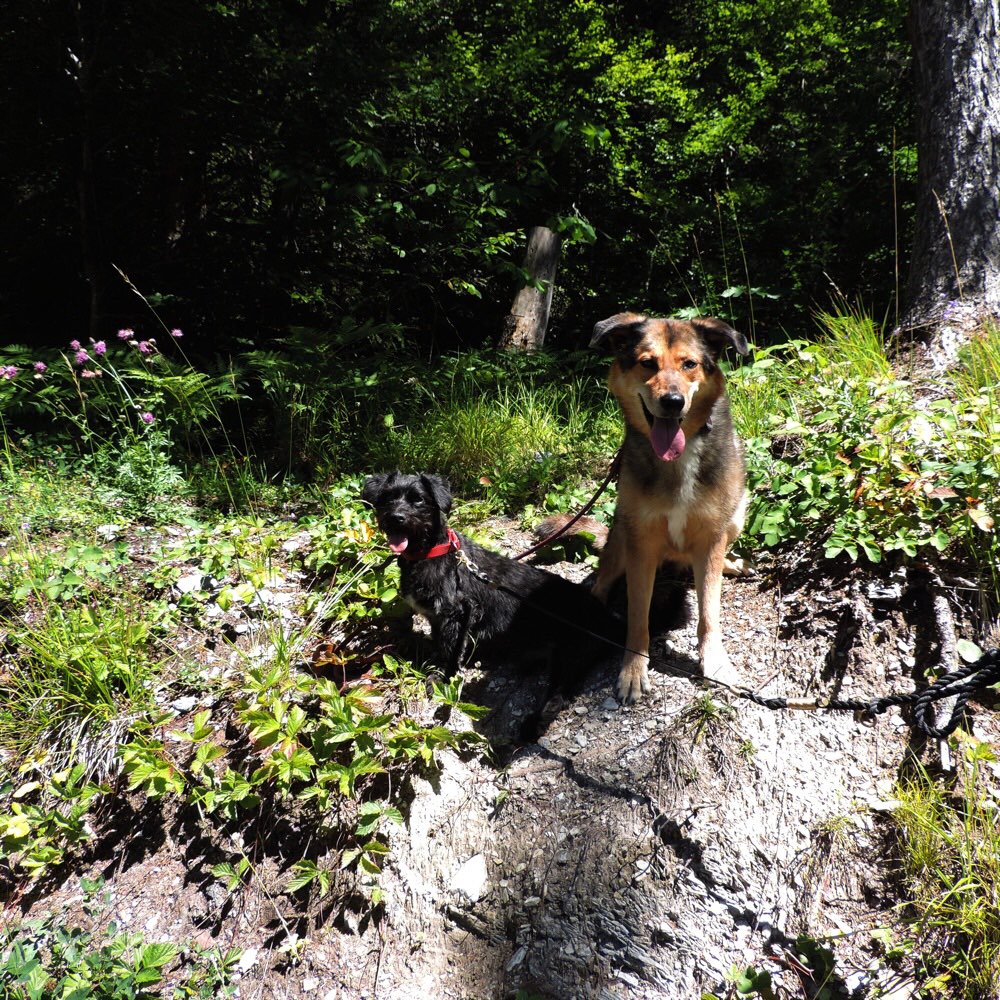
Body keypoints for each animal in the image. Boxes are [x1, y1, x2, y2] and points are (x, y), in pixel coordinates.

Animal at [364, 470, 620, 688]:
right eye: (387, 497)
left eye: (418, 499)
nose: (396, 517)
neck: (429, 552)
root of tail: (608, 619)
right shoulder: (438, 618)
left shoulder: (457, 613)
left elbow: (450, 648)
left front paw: (440, 675)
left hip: (568, 656)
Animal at [588, 312, 748, 704]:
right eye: (648, 363)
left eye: (689, 364)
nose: (673, 401)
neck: (681, 454)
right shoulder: (641, 543)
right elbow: (638, 617)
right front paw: (633, 670)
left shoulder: (711, 536)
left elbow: (709, 613)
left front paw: (715, 662)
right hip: (622, 533)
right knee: (602, 578)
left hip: (737, 513)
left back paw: (732, 564)